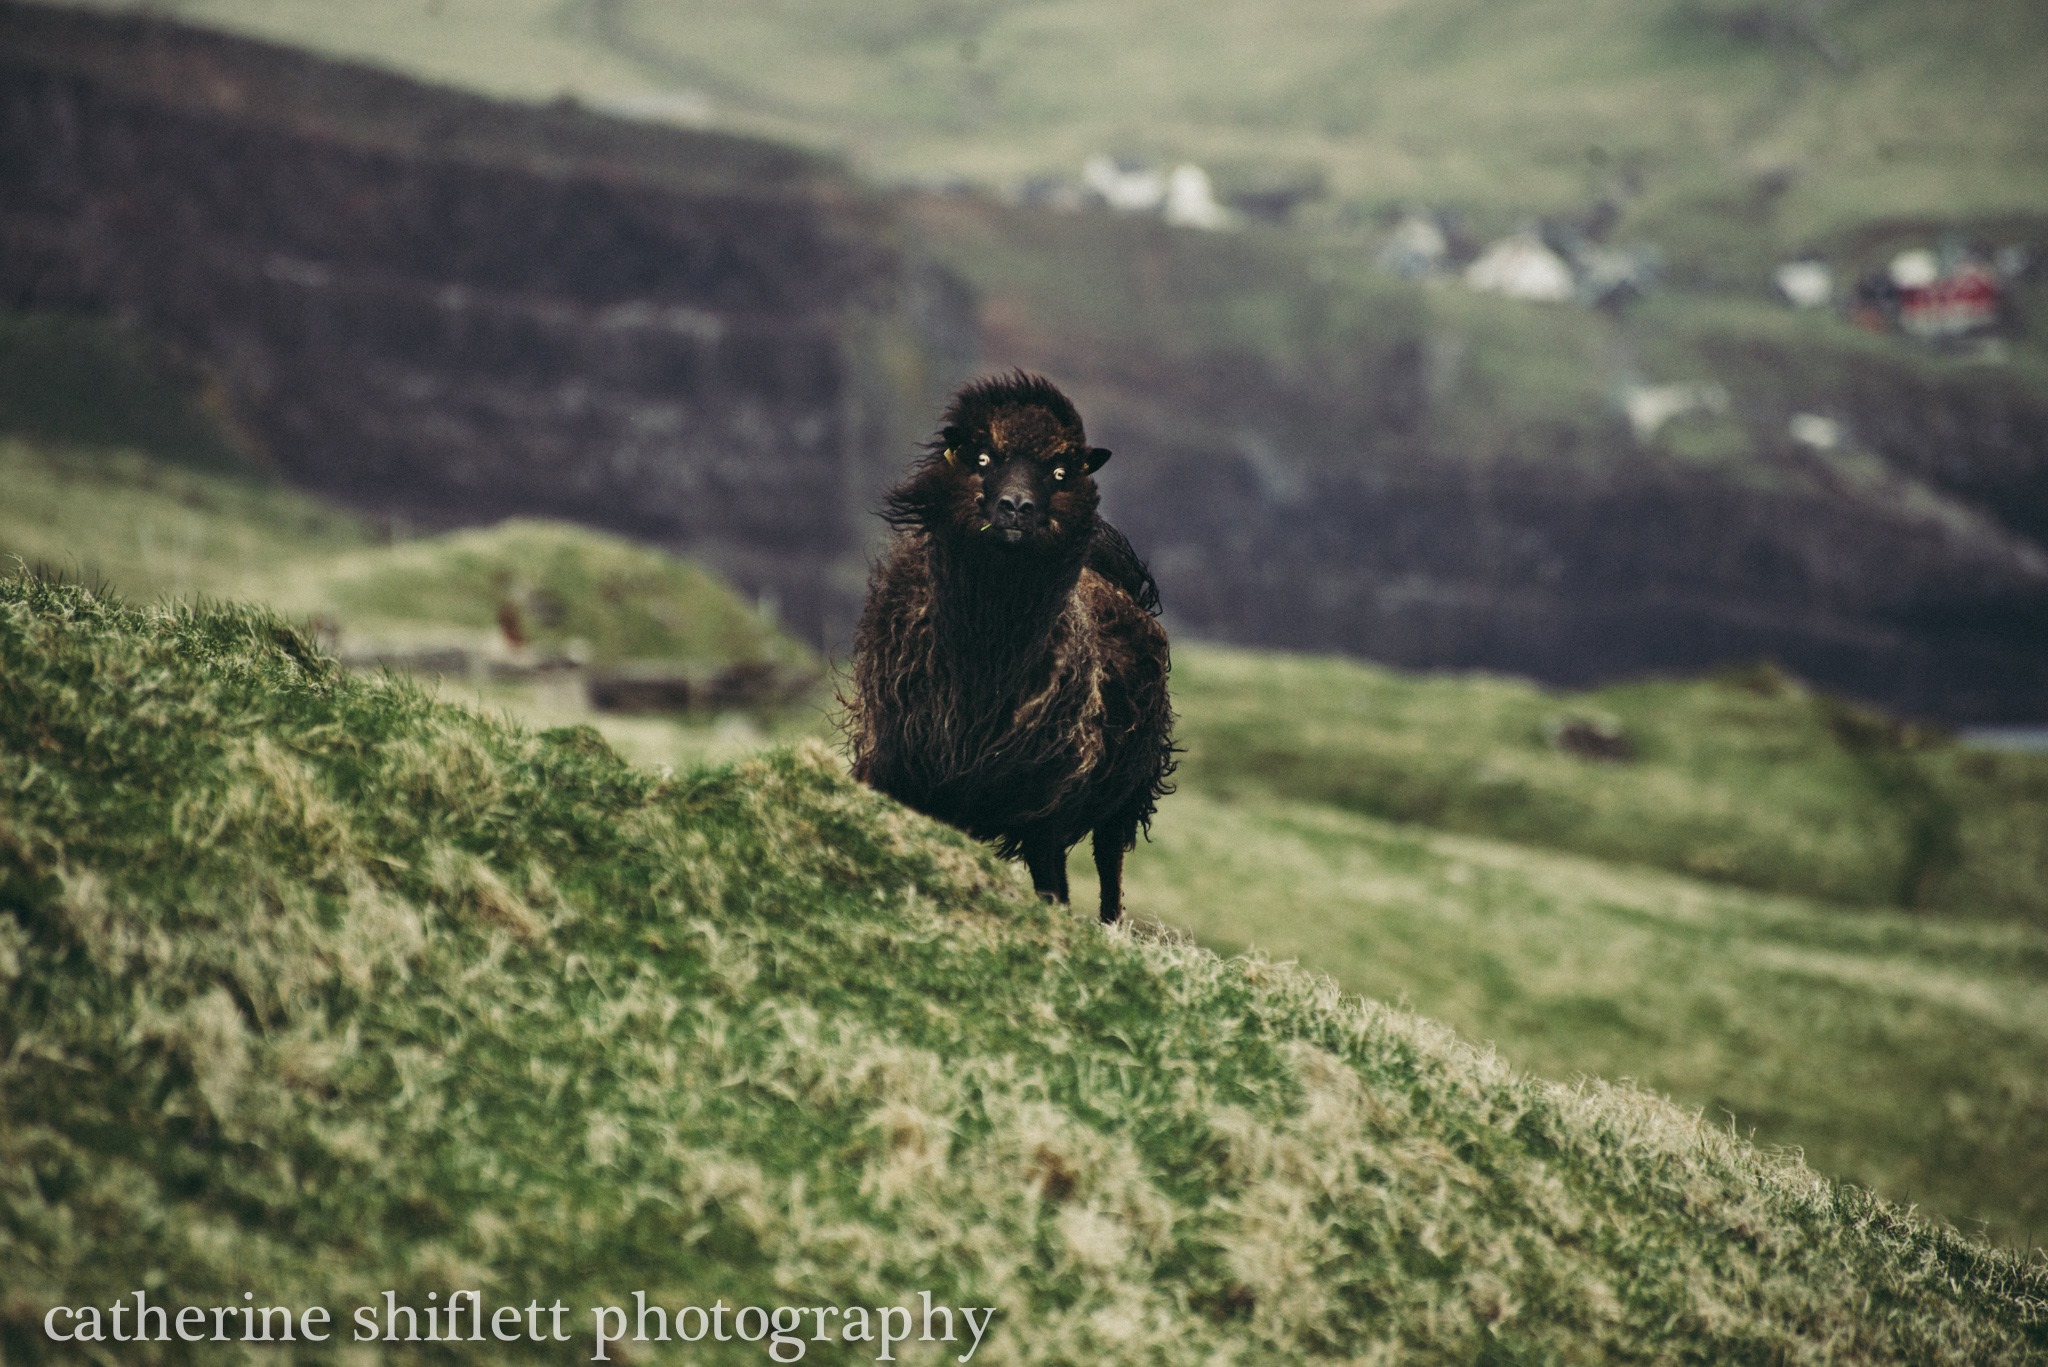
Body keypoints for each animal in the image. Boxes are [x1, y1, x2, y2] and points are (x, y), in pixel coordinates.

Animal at [843, 370, 1171, 918]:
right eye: (982, 457)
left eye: (1059, 471)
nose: (1016, 508)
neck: (985, 652)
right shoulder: (894, 763)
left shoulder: (1044, 808)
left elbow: (1057, 889)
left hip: (1126, 794)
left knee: (1108, 869)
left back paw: (1110, 928)